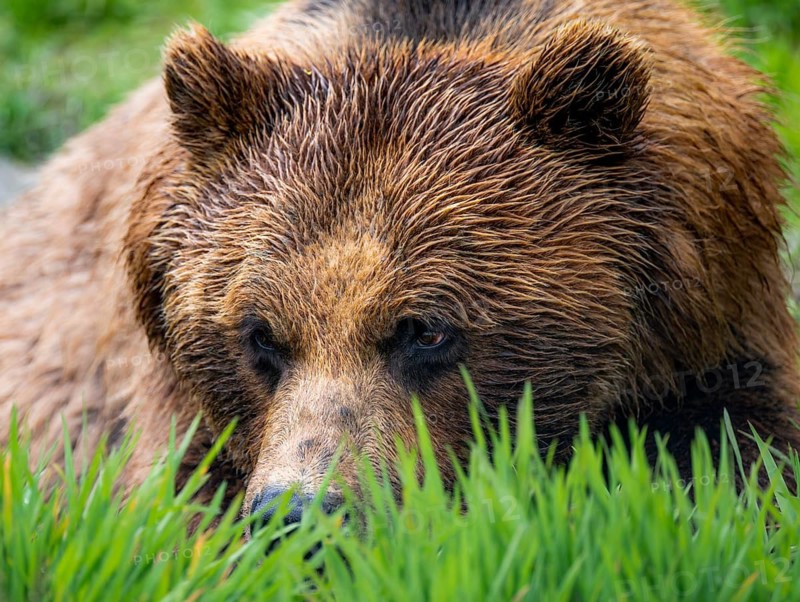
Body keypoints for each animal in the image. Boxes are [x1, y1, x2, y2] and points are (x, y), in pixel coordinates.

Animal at [1, 0, 799, 523]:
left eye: (426, 328)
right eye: (259, 334)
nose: (300, 511)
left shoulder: (710, 332)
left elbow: (738, 462)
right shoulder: (176, 401)